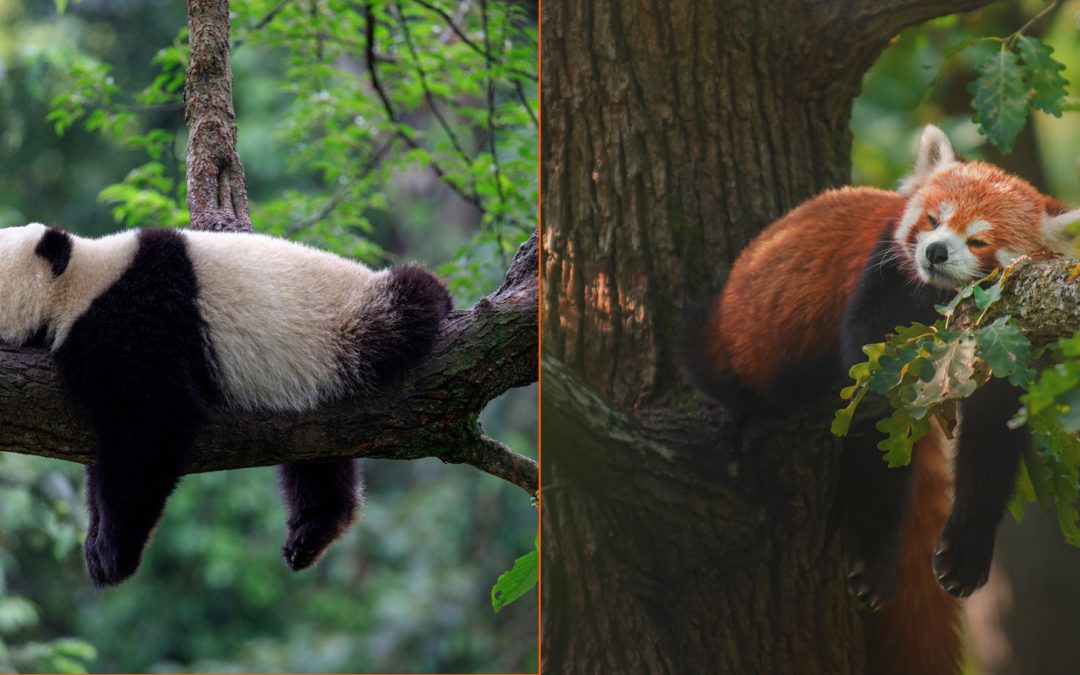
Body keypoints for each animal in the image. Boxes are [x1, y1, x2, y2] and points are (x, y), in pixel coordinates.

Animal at [0, 223, 452, 587]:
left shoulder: (139, 321)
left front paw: (113, 553)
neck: (78, 283)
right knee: (318, 455)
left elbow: (151, 428)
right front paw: (96, 544)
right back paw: (311, 532)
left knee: (406, 305)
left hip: (349, 324)